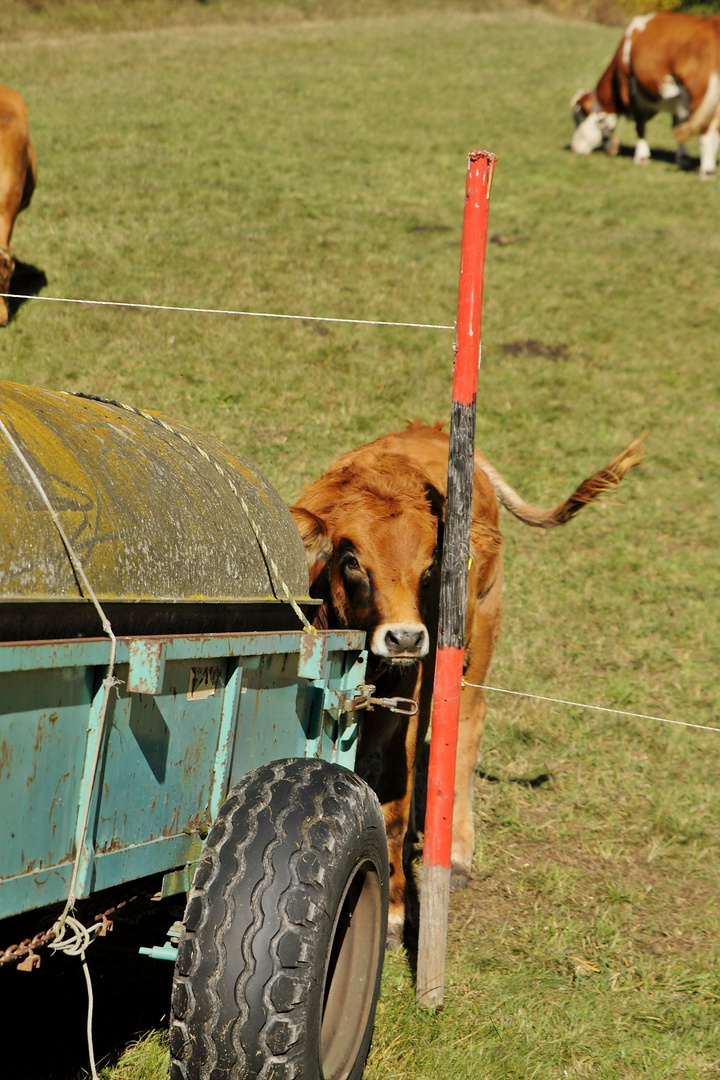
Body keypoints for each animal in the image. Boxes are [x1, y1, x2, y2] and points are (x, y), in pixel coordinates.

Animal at [289, 423, 643, 946]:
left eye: (429, 567)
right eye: (352, 559)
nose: (405, 637)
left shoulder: (411, 692)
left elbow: (395, 806)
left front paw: (396, 911)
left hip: (480, 637)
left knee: (468, 732)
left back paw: (455, 853)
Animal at [569, 12, 720, 177]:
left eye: (578, 119)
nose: (574, 148)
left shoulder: (632, 91)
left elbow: (639, 124)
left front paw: (641, 157)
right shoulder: (679, 98)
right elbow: (677, 124)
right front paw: (683, 158)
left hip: (700, 95)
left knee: (706, 129)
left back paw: (707, 171)